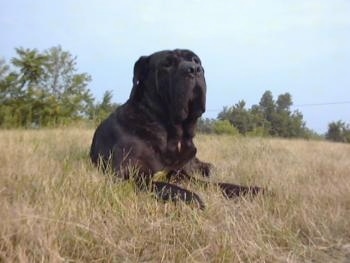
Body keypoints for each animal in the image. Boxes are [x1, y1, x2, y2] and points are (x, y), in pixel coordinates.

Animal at [91, 49, 262, 209]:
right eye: (167, 64)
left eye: (196, 60)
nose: (194, 69)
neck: (171, 133)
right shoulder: (126, 175)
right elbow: (163, 185)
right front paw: (192, 198)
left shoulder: (180, 173)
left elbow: (214, 184)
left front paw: (250, 190)